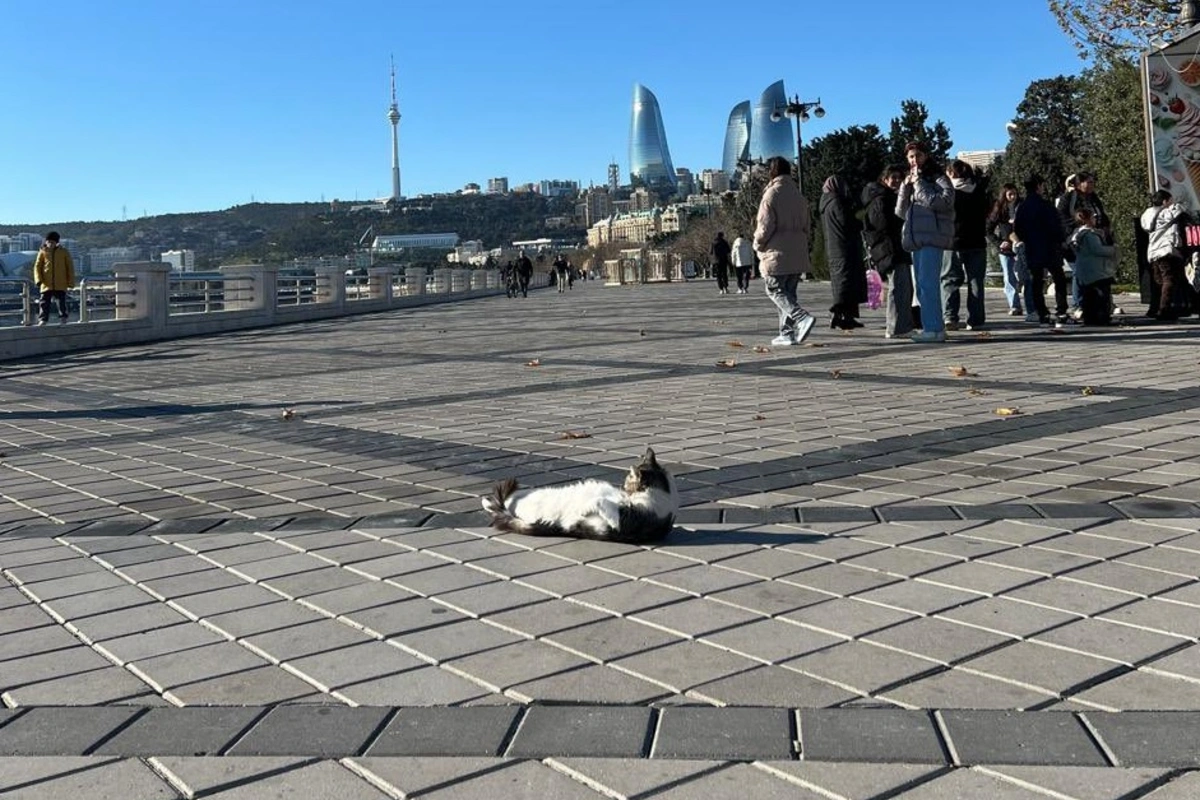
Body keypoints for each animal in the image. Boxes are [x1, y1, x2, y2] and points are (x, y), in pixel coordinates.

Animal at [482, 450, 681, 544]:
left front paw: (585, 510)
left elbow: (600, 502)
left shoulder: (626, 520)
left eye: (626, 482)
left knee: (501, 506)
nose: (623, 489)